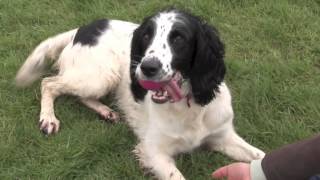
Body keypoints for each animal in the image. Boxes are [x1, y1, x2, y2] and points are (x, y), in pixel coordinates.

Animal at [15, 8, 264, 179]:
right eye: (146, 36)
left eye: (179, 38)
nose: (147, 67)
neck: (188, 107)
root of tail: (81, 29)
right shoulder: (154, 151)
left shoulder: (223, 136)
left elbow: (260, 156)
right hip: (99, 76)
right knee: (49, 83)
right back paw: (48, 119)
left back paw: (106, 111)